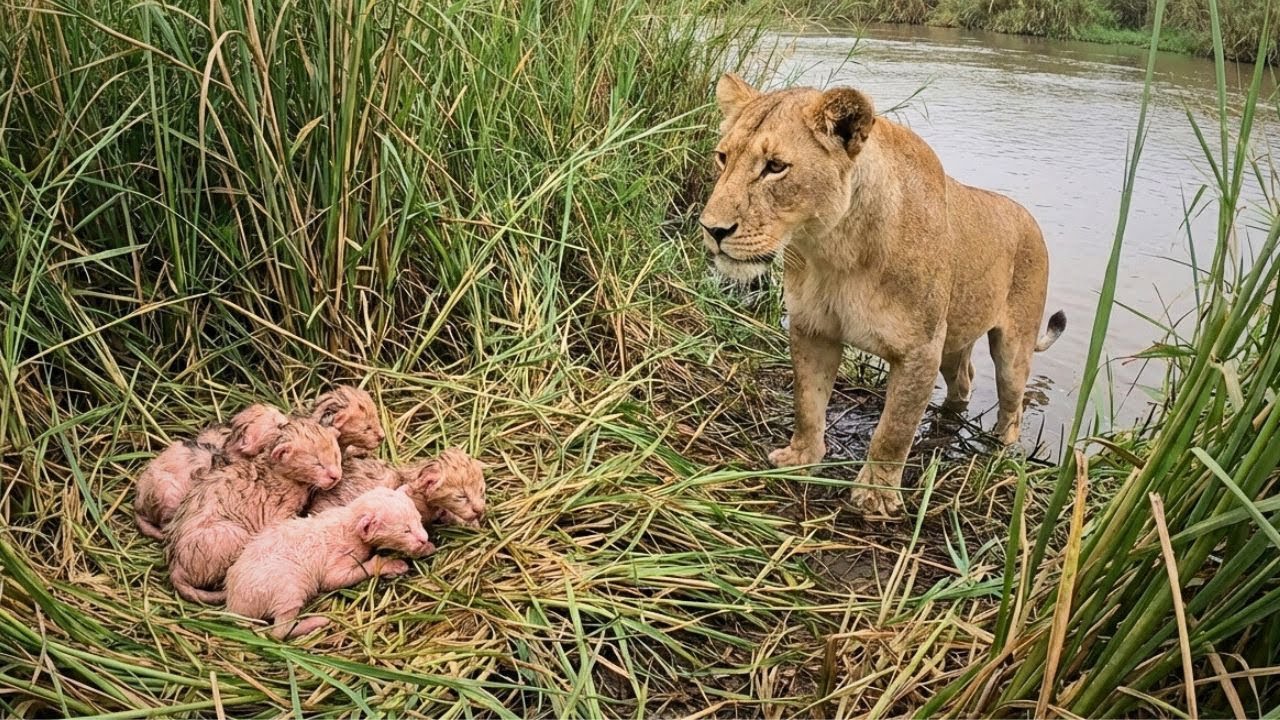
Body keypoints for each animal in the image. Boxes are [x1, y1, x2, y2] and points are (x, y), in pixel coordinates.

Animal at [699, 74, 1065, 517]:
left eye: (775, 167)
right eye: (723, 157)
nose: (712, 229)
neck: (833, 250)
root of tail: (1028, 218)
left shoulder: (920, 350)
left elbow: (894, 429)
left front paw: (875, 495)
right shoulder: (812, 329)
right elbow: (807, 402)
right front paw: (801, 457)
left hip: (1012, 345)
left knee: (1013, 400)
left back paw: (1000, 448)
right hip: (953, 339)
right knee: (963, 379)